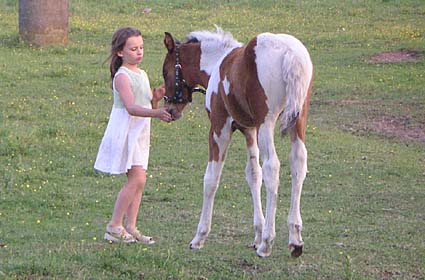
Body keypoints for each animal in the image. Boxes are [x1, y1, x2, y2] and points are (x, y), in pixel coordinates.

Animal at [161, 27, 312, 258]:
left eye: (165, 72)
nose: (170, 110)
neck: (216, 64)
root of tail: (291, 54)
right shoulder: (249, 130)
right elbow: (253, 174)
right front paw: (257, 233)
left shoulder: (219, 128)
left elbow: (211, 179)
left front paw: (199, 237)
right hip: (298, 120)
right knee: (298, 163)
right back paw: (295, 240)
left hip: (267, 122)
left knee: (272, 167)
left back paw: (267, 243)